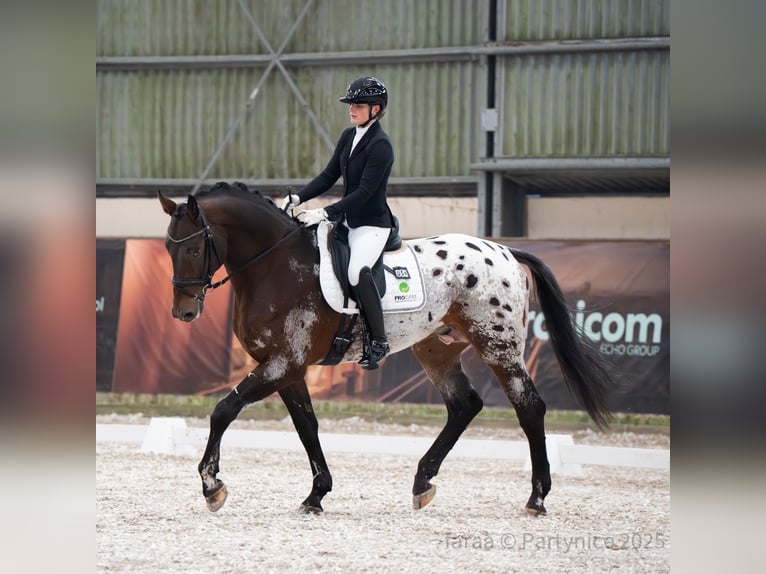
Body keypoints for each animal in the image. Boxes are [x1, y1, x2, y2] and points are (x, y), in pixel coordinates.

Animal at [157, 181, 613, 516]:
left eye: (194, 248)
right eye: (167, 248)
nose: (183, 312)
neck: (276, 266)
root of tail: (504, 250)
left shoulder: (283, 362)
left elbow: (224, 410)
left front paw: (212, 485)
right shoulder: (288, 368)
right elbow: (307, 426)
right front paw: (317, 494)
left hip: (498, 344)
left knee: (529, 407)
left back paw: (537, 498)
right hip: (435, 350)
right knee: (464, 405)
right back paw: (423, 482)